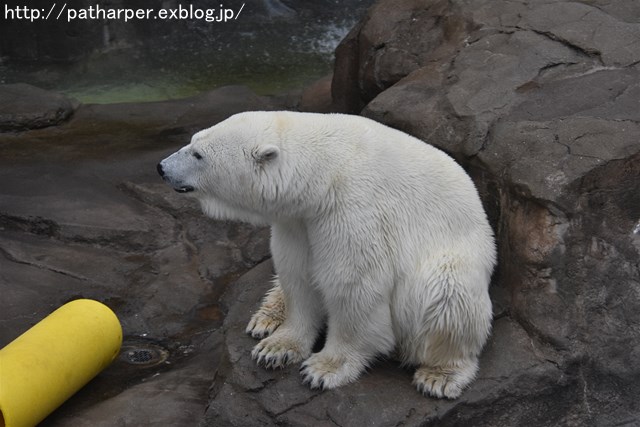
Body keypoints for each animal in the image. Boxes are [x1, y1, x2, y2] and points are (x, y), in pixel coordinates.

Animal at [158, 110, 498, 398]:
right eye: (192, 141)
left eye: (198, 154)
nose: (161, 168)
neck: (324, 171)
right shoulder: (298, 221)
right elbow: (297, 273)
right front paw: (275, 348)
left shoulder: (352, 209)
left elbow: (352, 285)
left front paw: (323, 369)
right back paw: (265, 317)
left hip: (452, 260)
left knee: (446, 293)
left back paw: (439, 375)